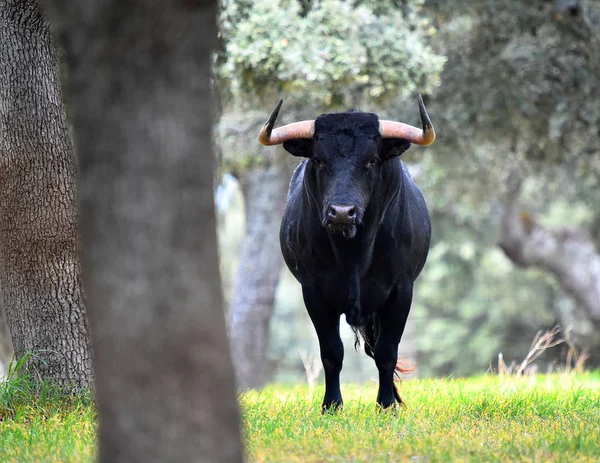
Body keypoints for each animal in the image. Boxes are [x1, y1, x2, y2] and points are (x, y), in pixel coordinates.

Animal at [258, 97, 436, 410]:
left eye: (372, 160)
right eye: (318, 159)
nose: (341, 212)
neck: (354, 254)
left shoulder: (401, 290)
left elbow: (386, 352)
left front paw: (386, 405)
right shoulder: (314, 292)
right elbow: (331, 352)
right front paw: (331, 405)